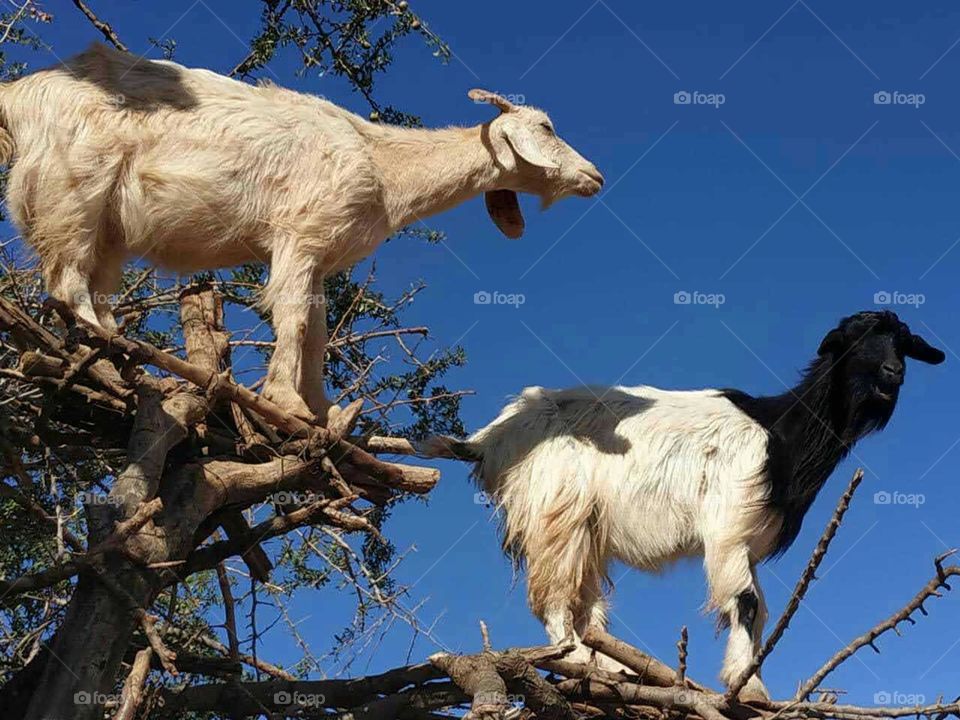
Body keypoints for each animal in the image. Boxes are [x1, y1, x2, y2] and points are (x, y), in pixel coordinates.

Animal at [0, 43, 600, 422]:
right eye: (546, 126)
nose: (594, 176)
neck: (382, 165)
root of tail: (23, 93)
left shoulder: (322, 254)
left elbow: (318, 328)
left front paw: (325, 412)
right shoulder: (300, 235)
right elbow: (292, 318)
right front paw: (286, 404)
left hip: (108, 226)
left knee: (94, 286)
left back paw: (129, 359)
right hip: (69, 193)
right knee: (67, 284)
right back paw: (104, 358)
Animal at [428, 310, 944, 704]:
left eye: (903, 344)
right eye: (856, 341)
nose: (893, 374)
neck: (778, 433)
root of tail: (489, 438)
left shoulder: (747, 541)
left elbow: (762, 609)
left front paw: (750, 680)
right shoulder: (728, 529)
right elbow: (746, 603)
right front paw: (749, 687)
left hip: (586, 526)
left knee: (587, 604)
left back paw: (605, 665)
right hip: (555, 511)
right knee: (554, 596)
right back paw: (574, 658)